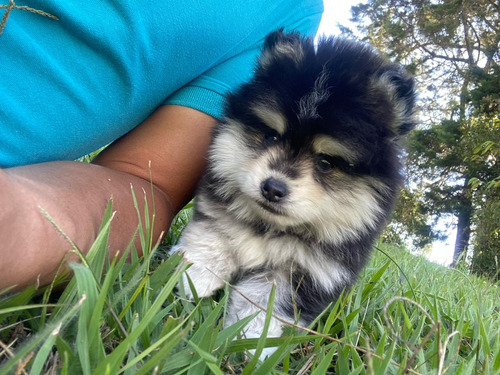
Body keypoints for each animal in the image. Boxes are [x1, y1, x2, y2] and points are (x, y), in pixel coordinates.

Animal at [174, 30, 416, 356]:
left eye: (326, 163)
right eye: (271, 136)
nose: (272, 188)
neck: (271, 228)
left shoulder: (306, 273)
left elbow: (265, 303)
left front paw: (252, 341)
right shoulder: (216, 213)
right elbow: (213, 236)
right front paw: (194, 277)